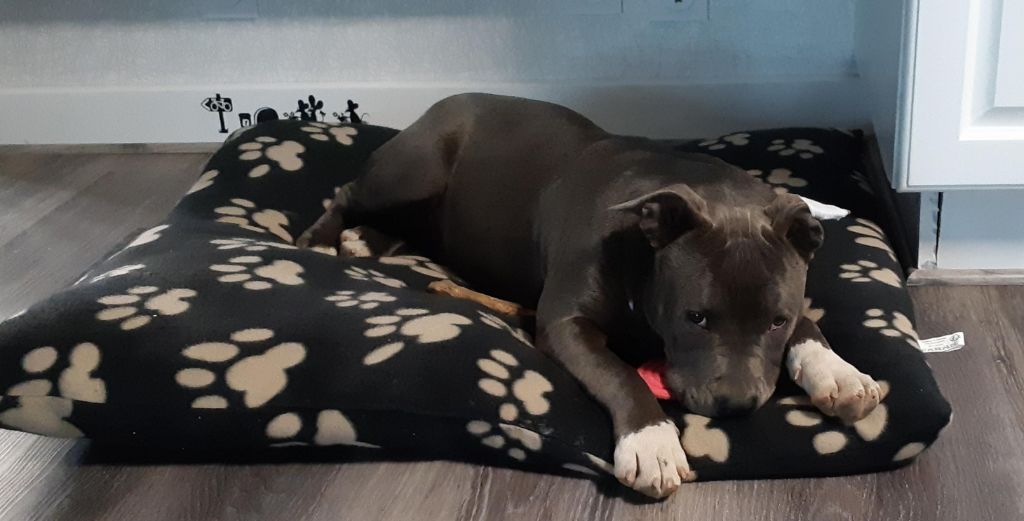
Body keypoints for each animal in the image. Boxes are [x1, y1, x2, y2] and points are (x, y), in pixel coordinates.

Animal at [299, 93, 881, 498]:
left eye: (776, 321)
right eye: (695, 317)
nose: (737, 406)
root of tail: (444, 102)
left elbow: (812, 326)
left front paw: (839, 372)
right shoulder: (565, 324)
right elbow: (620, 375)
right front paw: (652, 443)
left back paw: (366, 239)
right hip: (414, 172)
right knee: (347, 194)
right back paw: (323, 239)